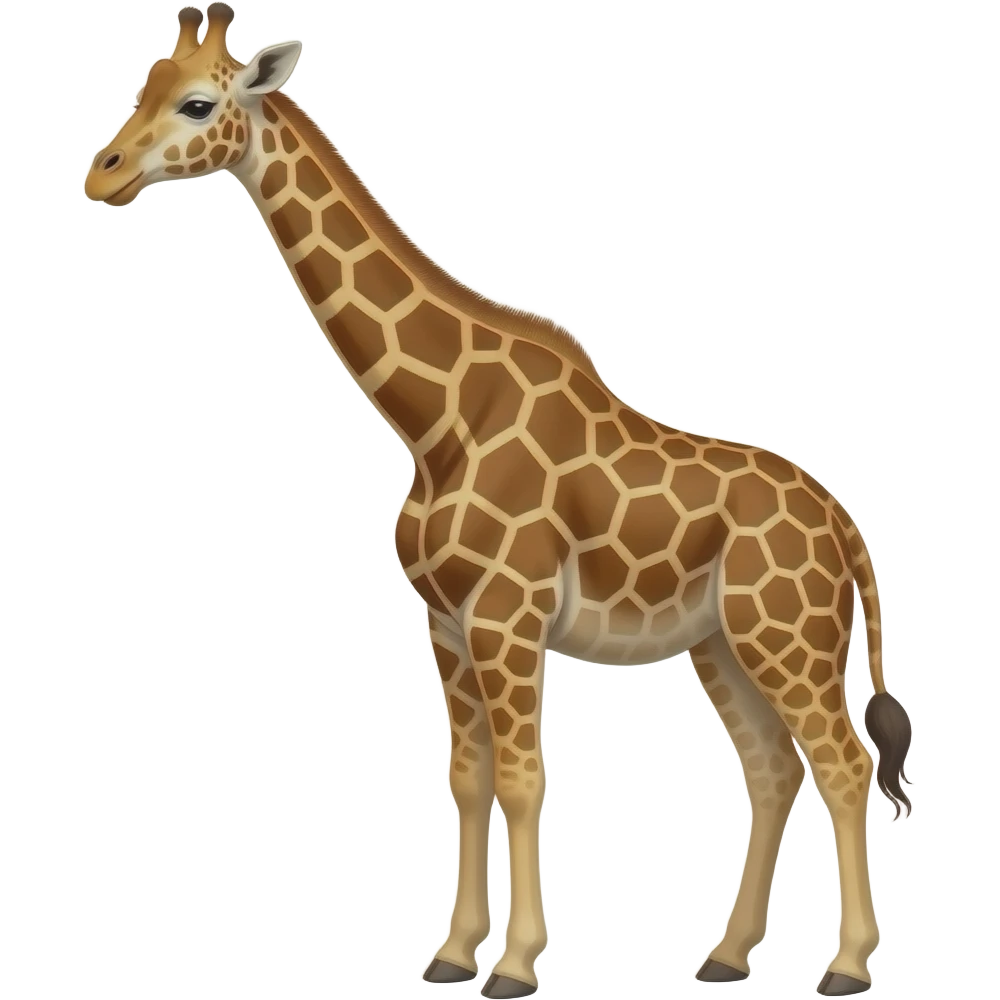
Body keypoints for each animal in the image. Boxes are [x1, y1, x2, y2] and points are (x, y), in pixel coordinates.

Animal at [84, 5, 914, 996]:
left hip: (788, 637)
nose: (102, 173)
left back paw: (847, 967)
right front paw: (450, 954)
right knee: (773, 765)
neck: (437, 422)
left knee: (844, 761)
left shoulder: (507, 616)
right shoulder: (445, 622)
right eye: (144, 85)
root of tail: (846, 528)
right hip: (721, 642)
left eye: (199, 103)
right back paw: (726, 955)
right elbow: (468, 778)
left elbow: (524, 779)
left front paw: (515, 966)